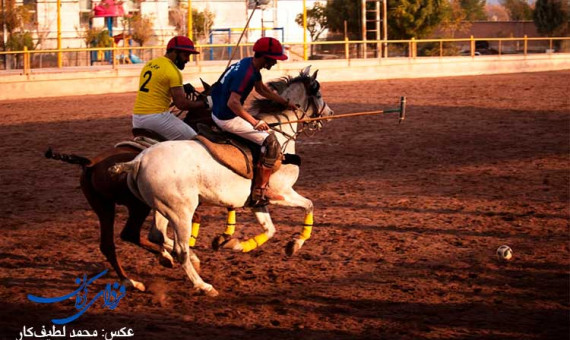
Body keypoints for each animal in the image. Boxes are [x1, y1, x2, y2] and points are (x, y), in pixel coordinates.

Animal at [46, 83, 211, 292]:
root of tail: (90, 164)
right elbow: (169, 230)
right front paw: (178, 255)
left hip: (103, 207)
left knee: (107, 244)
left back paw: (130, 280)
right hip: (137, 206)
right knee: (129, 234)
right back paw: (162, 259)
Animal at [111, 66, 332, 294]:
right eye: (318, 94)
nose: (329, 114)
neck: (279, 134)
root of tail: (138, 161)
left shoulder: (257, 201)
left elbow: (269, 229)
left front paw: (234, 244)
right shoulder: (281, 193)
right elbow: (309, 205)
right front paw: (295, 244)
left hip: (162, 207)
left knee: (157, 235)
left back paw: (173, 259)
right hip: (181, 212)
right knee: (180, 249)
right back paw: (203, 285)